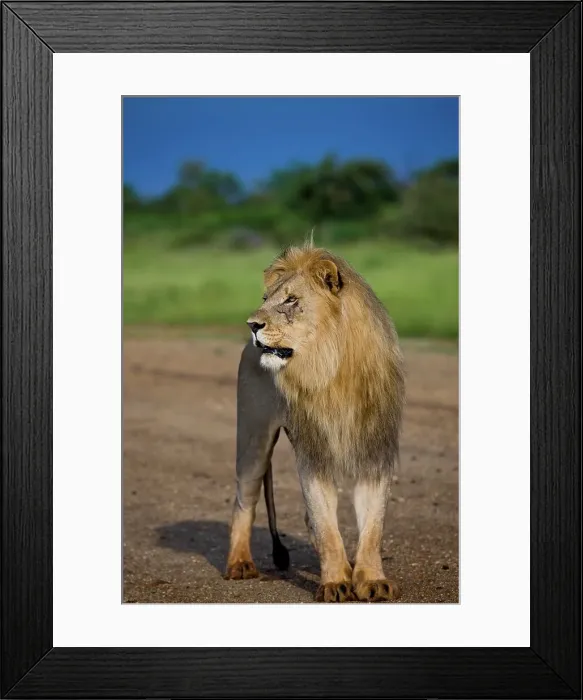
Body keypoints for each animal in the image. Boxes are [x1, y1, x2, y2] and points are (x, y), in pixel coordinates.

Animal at [225, 242, 405, 602]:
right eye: (266, 298)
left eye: (291, 300)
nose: (252, 325)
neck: (333, 373)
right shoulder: (313, 457)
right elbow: (327, 526)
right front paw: (335, 583)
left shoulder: (375, 454)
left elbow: (372, 527)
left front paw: (370, 579)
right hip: (253, 438)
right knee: (244, 501)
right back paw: (239, 564)